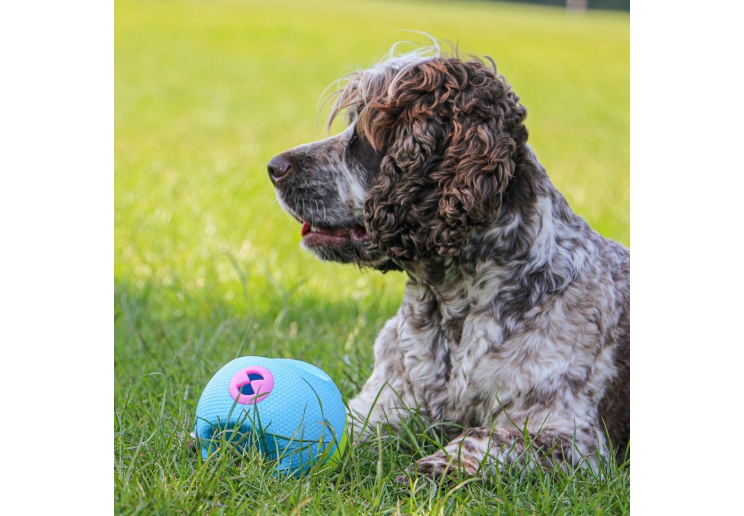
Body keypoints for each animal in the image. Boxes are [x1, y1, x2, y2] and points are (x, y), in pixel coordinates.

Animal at [268, 44, 628, 480]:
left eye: (367, 136)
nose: (273, 167)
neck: (451, 307)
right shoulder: (381, 404)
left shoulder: (569, 437)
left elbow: (475, 443)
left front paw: (416, 477)